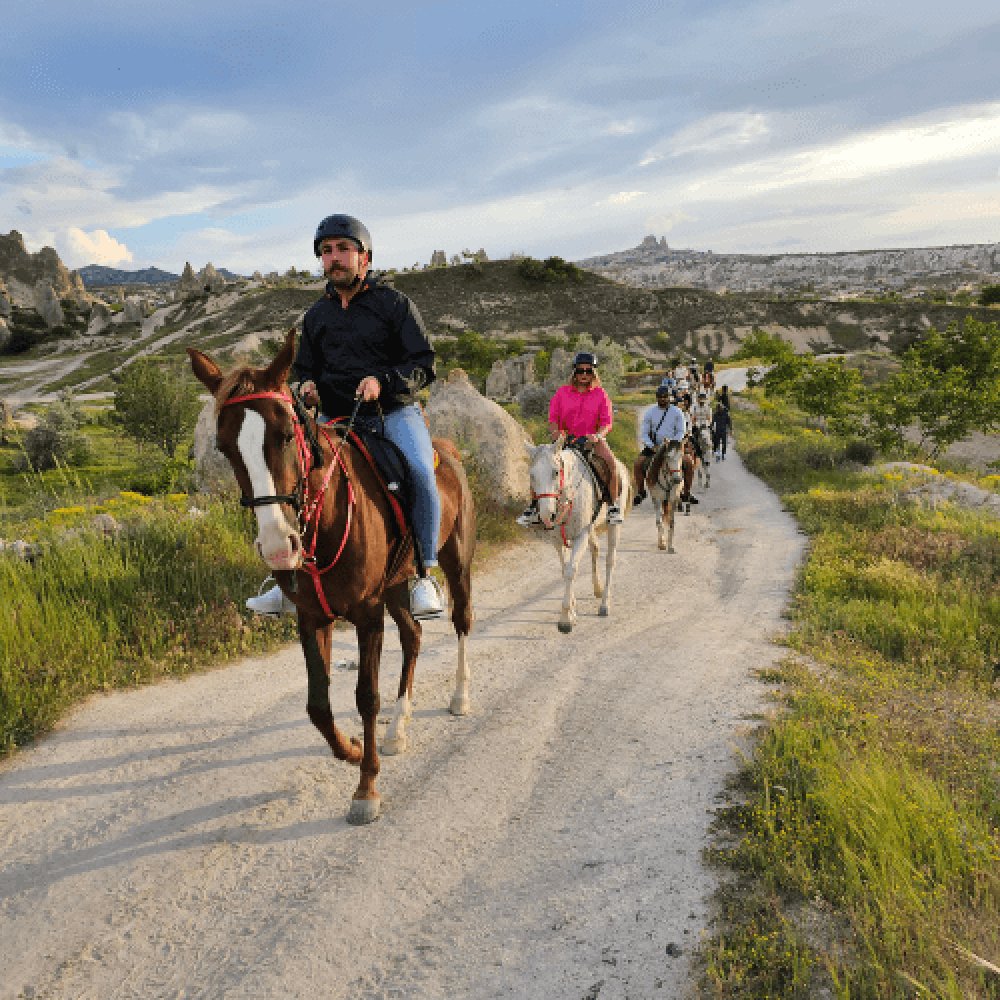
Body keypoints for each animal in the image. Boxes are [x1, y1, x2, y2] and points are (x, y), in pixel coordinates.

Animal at [187, 330, 475, 825]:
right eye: (224, 447)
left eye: (286, 435)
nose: (279, 546)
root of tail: (449, 451)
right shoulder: (312, 616)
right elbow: (318, 705)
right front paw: (354, 749)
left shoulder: (367, 614)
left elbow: (365, 697)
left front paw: (367, 787)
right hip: (395, 585)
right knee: (414, 636)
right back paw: (398, 728)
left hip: (454, 563)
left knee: (460, 623)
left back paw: (458, 697)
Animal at [524, 434, 632, 633]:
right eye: (532, 475)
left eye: (555, 472)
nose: (547, 515)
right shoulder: (558, 540)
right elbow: (564, 569)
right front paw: (572, 611)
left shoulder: (580, 535)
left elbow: (571, 571)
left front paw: (565, 619)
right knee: (595, 549)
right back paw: (597, 589)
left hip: (613, 526)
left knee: (610, 560)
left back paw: (604, 604)